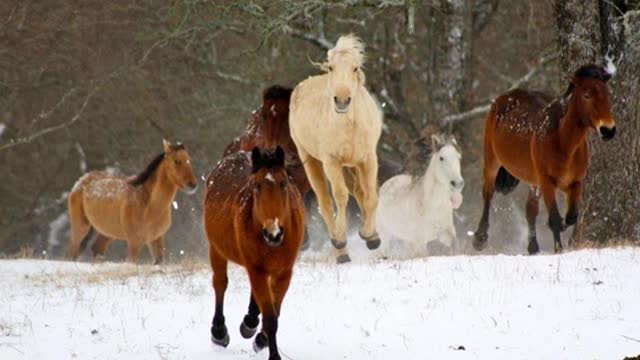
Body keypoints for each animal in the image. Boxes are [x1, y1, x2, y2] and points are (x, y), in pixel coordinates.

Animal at [67, 139, 198, 262]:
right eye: (177, 161)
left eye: (189, 160)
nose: (192, 185)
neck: (149, 205)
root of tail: (81, 181)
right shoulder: (134, 241)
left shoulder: (156, 239)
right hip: (81, 226)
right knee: (73, 251)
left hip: (108, 233)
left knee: (97, 249)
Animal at [205, 146, 304, 360]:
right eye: (257, 186)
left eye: (284, 183)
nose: (273, 232)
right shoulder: (256, 269)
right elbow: (270, 318)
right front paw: (272, 353)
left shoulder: (284, 273)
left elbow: (275, 312)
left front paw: (261, 339)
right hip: (216, 249)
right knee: (220, 283)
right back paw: (219, 332)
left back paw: (249, 324)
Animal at [288, 33, 382, 262]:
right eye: (331, 67)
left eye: (355, 68)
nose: (341, 100)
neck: (350, 125)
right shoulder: (332, 162)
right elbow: (340, 196)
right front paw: (341, 239)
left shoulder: (368, 159)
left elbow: (371, 196)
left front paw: (370, 236)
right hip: (312, 161)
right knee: (325, 202)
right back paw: (341, 252)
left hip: (352, 164)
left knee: (359, 192)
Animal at [472, 65, 616, 256]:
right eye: (587, 95)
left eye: (607, 95)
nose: (608, 130)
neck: (564, 143)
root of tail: (504, 97)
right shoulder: (547, 182)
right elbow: (554, 217)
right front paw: (558, 248)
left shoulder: (576, 182)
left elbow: (571, 217)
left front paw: (562, 229)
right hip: (492, 160)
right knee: (488, 193)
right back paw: (480, 239)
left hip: (533, 180)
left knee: (530, 210)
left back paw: (533, 248)